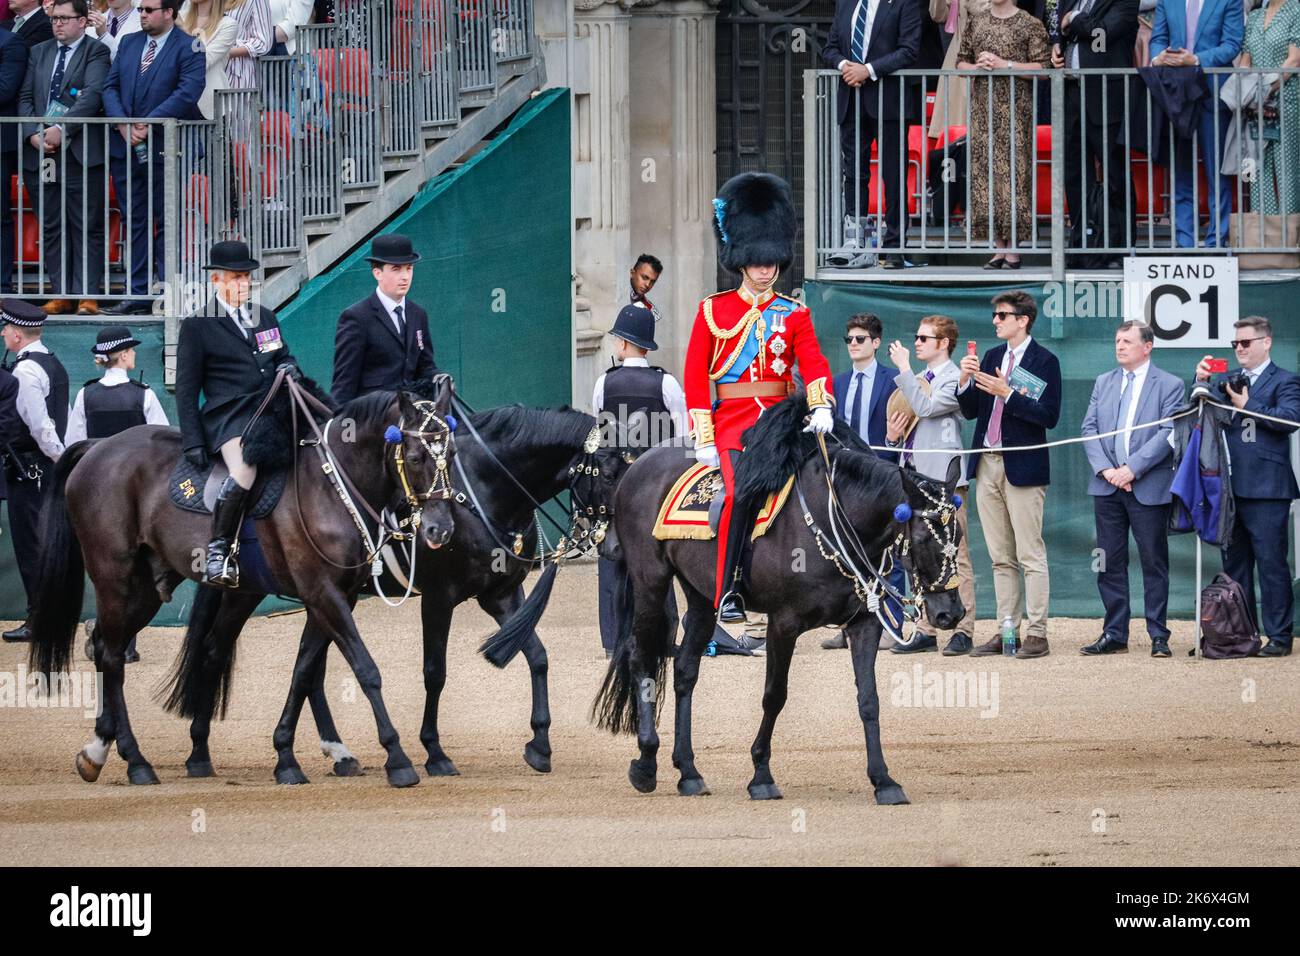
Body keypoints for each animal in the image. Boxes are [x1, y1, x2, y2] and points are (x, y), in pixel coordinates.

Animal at [28, 380, 459, 788]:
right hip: (116, 578)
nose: (440, 529)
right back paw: (136, 761)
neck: (330, 487)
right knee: (114, 658)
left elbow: (304, 671)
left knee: (109, 647)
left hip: (149, 590)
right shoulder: (323, 593)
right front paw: (397, 758)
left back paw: (107, 749)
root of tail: (99, 446)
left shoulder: (335, 597)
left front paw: (286, 757)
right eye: (416, 457)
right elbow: (365, 669)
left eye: (451, 454)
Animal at [179, 403, 626, 783]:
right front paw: (433, 751)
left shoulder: (501, 595)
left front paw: (540, 744)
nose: (618, 544)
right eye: (607, 474)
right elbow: (435, 672)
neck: (483, 491)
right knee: (220, 650)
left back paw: (336, 752)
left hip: (321, 596)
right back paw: (206, 748)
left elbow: (537, 657)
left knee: (310, 668)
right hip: (255, 591)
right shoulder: (440, 597)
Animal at [592, 395, 966, 803]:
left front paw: (884, 780)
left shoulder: (864, 624)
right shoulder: (783, 623)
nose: (951, 613)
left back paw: (688, 771)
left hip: (703, 598)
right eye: (925, 537)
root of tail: (639, 463)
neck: (836, 518)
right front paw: (761, 774)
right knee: (641, 657)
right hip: (651, 583)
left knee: (685, 671)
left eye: (959, 534)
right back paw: (646, 761)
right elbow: (775, 695)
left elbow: (869, 700)